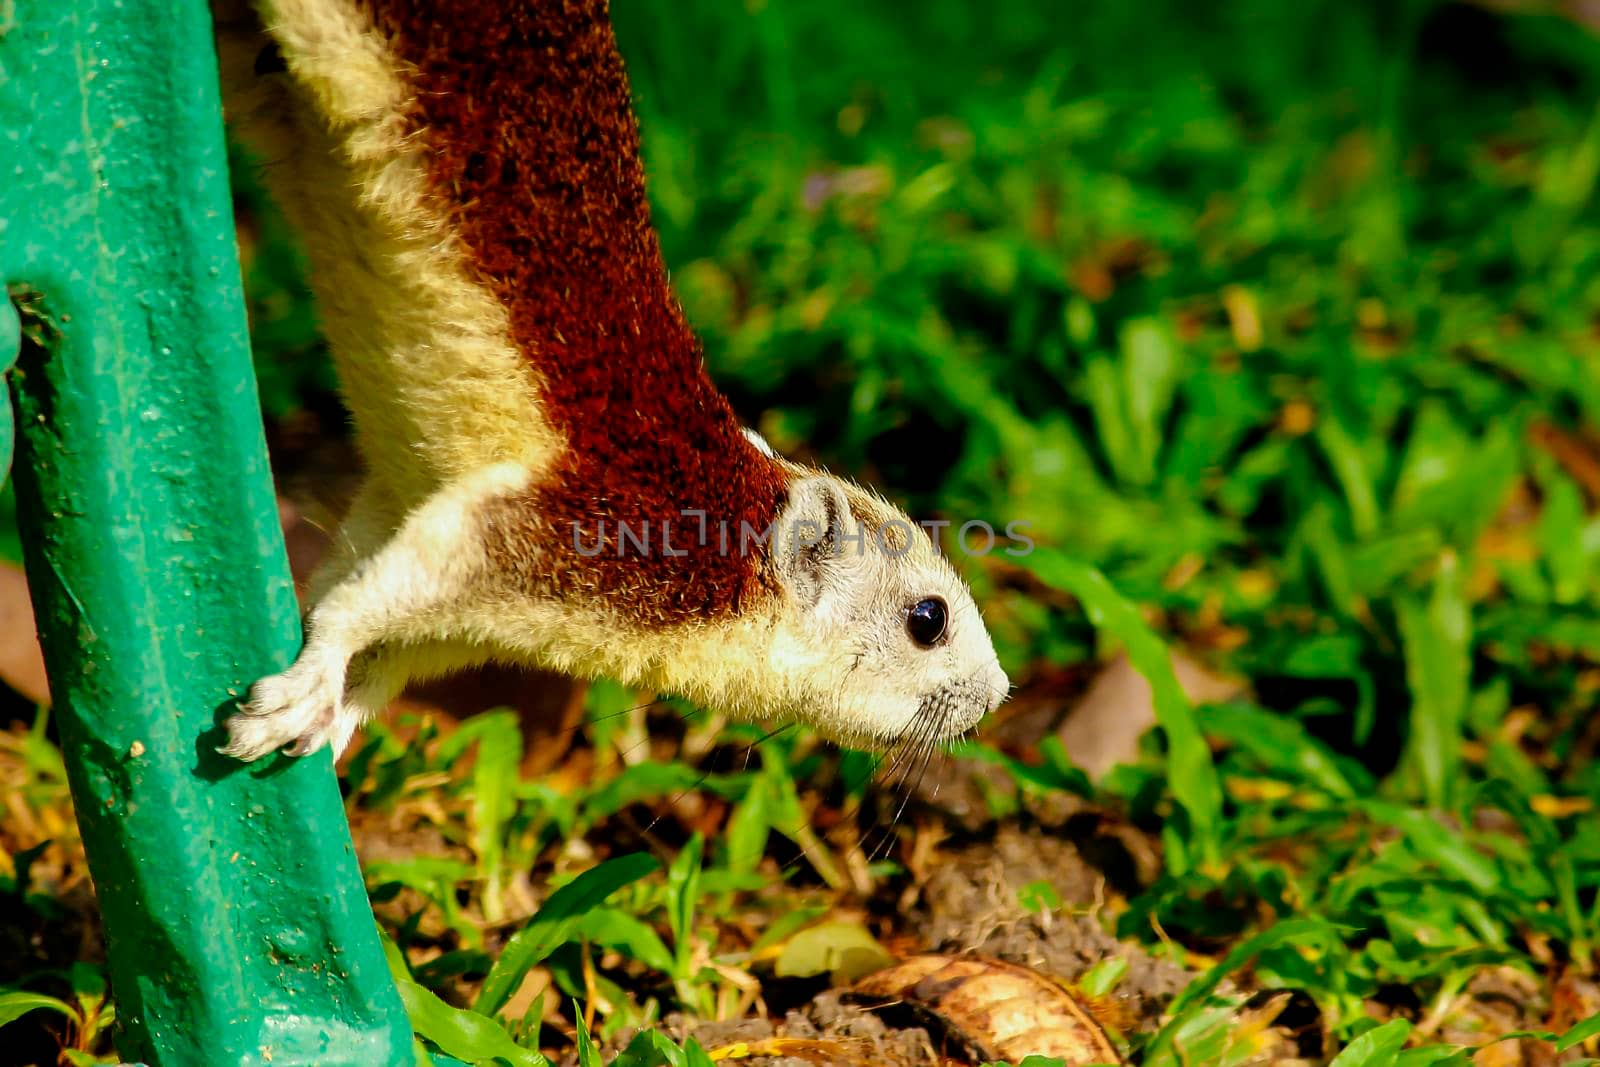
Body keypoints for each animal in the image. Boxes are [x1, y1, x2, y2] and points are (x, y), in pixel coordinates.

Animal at [209, 0, 1011, 764]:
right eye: (928, 619)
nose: (998, 694)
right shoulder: (559, 534)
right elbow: (357, 609)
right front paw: (299, 690)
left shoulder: (425, 538)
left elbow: (364, 629)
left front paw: (330, 718)